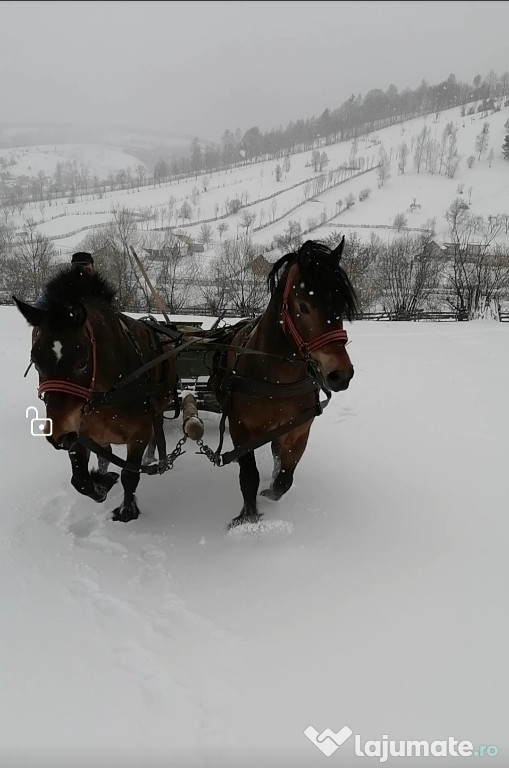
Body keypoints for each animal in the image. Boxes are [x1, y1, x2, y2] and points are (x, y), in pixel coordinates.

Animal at [13, 266, 178, 520]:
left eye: (82, 362)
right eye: (36, 362)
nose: (58, 435)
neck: (107, 393)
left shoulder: (138, 434)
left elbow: (131, 475)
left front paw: (127, 511)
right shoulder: (80, 432)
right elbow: (80, 479)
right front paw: (102, 483)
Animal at [208, 240, 356, 528]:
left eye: (342, 305)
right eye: (303, 305)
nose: (340, 374)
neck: (277, 379)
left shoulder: (298, 430)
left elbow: (284, 479)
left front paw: (269, 494)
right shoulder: (241, 429)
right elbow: (249, 477)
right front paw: (248, 518)